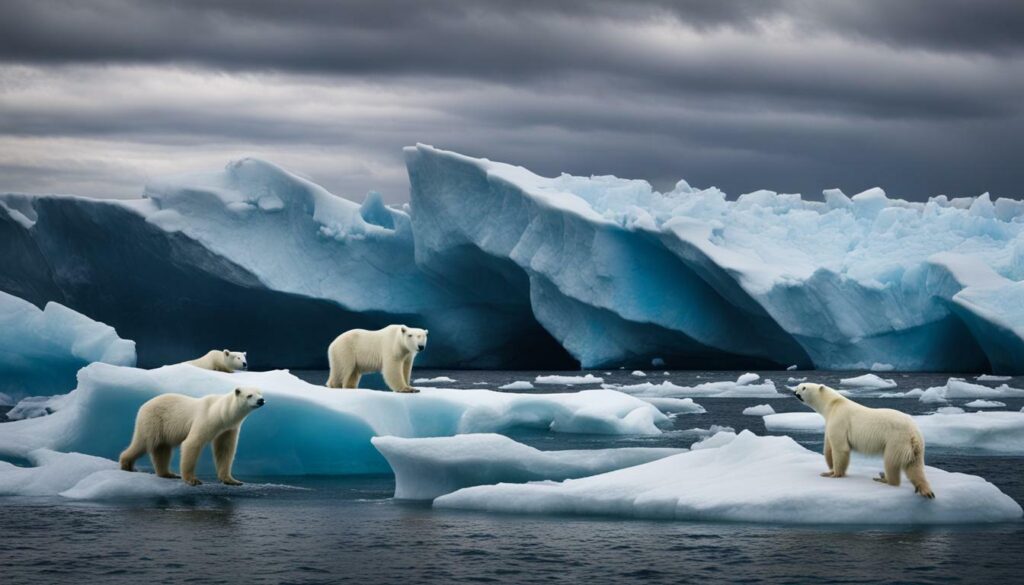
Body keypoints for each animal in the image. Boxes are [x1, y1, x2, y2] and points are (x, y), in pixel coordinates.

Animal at [117, 387, 266, 487]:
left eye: (260, 393)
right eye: (249, 395)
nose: (261, 400)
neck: (221, 413)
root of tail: (143, 405)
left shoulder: (228, 429)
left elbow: (224, 450)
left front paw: (232, 480)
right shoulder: (206, 419)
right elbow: (192, 443)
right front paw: (193, 480)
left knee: (162, 449)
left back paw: (168, 473)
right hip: (153, 421)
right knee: (143, 443)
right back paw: (126, 464)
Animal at [790, 385, 937, 499]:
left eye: (804, 387)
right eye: (798, 385)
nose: (794, 392)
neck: (833, 403)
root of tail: (913, 434)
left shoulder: (839, 420)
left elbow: (840, 447)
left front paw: (833, 473)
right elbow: (828, 446)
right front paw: (830, 468)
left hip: (896, 440)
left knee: (891, 462)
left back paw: (884, 478)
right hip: (915, 447)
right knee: (915, 466)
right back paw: (926, 490)